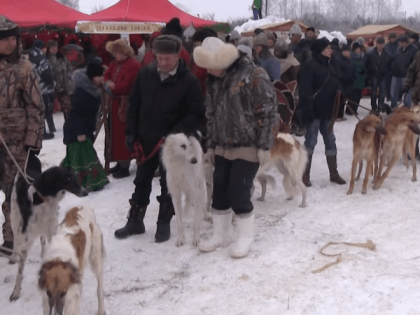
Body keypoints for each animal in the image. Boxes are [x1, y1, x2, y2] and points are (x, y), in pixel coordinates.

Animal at [9, 167, 88, 302]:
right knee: (16, 239)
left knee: (41, 238)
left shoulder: (52, 230)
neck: (45, 201)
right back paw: (14, 256)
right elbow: (20, 271)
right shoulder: (26, 239)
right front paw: (16, 292)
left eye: (73, 177)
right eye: (67, 180)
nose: (86, 192)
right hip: (16, 219)